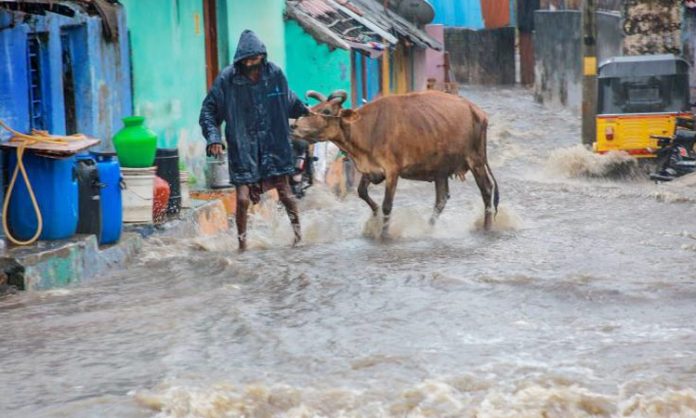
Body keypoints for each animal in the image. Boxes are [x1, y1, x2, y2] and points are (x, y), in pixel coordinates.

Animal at [290, 90, 498, 237]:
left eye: (326, 111)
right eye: (314, 107)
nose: (294, 125)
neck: (366, 128)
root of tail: (477, 110)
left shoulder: (392, 171)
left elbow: (387, 205)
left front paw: (384, 233)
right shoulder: (370, 170)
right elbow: (362, 193)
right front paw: (374, 218)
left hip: (476, 161)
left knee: (487, 190)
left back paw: (487, 227)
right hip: (440, 170)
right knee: (441, 200)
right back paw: (428, 228)